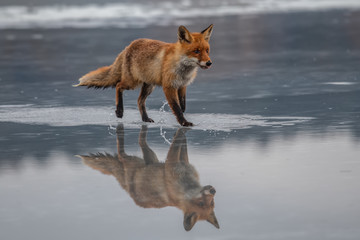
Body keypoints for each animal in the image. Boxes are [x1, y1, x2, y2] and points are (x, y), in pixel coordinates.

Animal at [74, 24, 214, 126]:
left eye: (207, 51)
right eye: (196, 51)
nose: (209, 63)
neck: (183, 68)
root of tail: (128, 46)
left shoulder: (182, 85)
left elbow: (182, 104)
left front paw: (183, 111)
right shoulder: (168, 86)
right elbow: (176, 107)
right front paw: (184, 122)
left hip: (149, 86)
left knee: (139, 100)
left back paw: (145, 119)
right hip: (132, 83)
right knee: (118, 85)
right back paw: (119, 111)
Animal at [78, 124, 219, 231]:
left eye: (211, 203)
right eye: (201, 203)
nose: (213, 190)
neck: (185, 186)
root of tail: (129, 191)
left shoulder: (174, 162)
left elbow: (178, 142)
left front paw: (181, 129)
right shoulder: (177, 163)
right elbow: (180, 141)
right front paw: (183, 127)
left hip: (143, 159)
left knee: (125, 151)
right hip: (148, 158)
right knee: (130, 147)